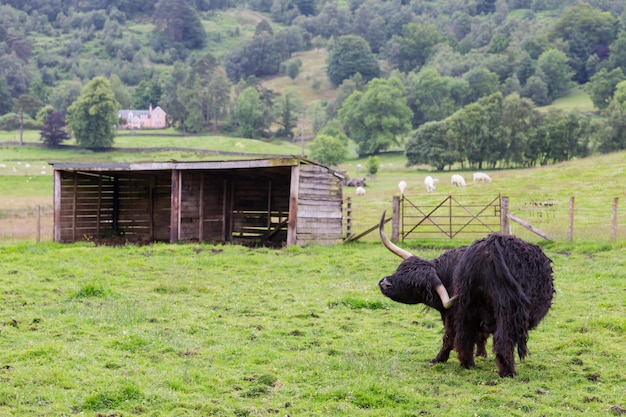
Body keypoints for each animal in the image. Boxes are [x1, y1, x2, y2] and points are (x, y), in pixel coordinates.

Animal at [378, 211, 552, 376]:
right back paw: (503, 370)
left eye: (415, 284)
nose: (385, 283)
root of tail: (491, 245)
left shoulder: (453, 313)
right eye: (401, 269)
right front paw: (480, 354)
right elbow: (473, 336)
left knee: (474, 337)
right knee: (497, 338)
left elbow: (454, 337)